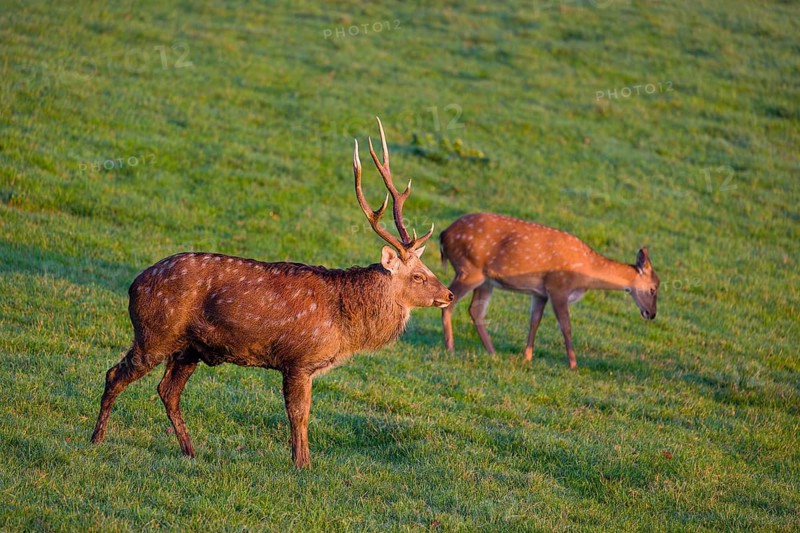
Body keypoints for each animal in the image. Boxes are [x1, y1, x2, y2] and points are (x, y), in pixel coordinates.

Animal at [90, 118, 454, 468]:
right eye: (419, 276)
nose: (449, 294)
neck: (344, 325)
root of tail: (134, 284)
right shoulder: (299, 359)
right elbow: (299, 415)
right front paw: (303, 465)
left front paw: (301, 461)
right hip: (155, 332)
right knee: (115, 374)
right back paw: (96, 438)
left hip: (188, 348)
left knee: (167, 391)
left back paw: (190, 451)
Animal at [439, 213, 659, 369]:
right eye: (653, 289)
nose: (651, 314)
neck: (585, 273)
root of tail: (444, 235)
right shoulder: (558, 286)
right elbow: (566, 326)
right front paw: (573, 364)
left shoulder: (540, 293)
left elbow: (534, 321)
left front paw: (527, 357)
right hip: (470, 268)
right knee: (450, 302)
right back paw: (450, 347)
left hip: (486, 280)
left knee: (476, 311)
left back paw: (492, 352)